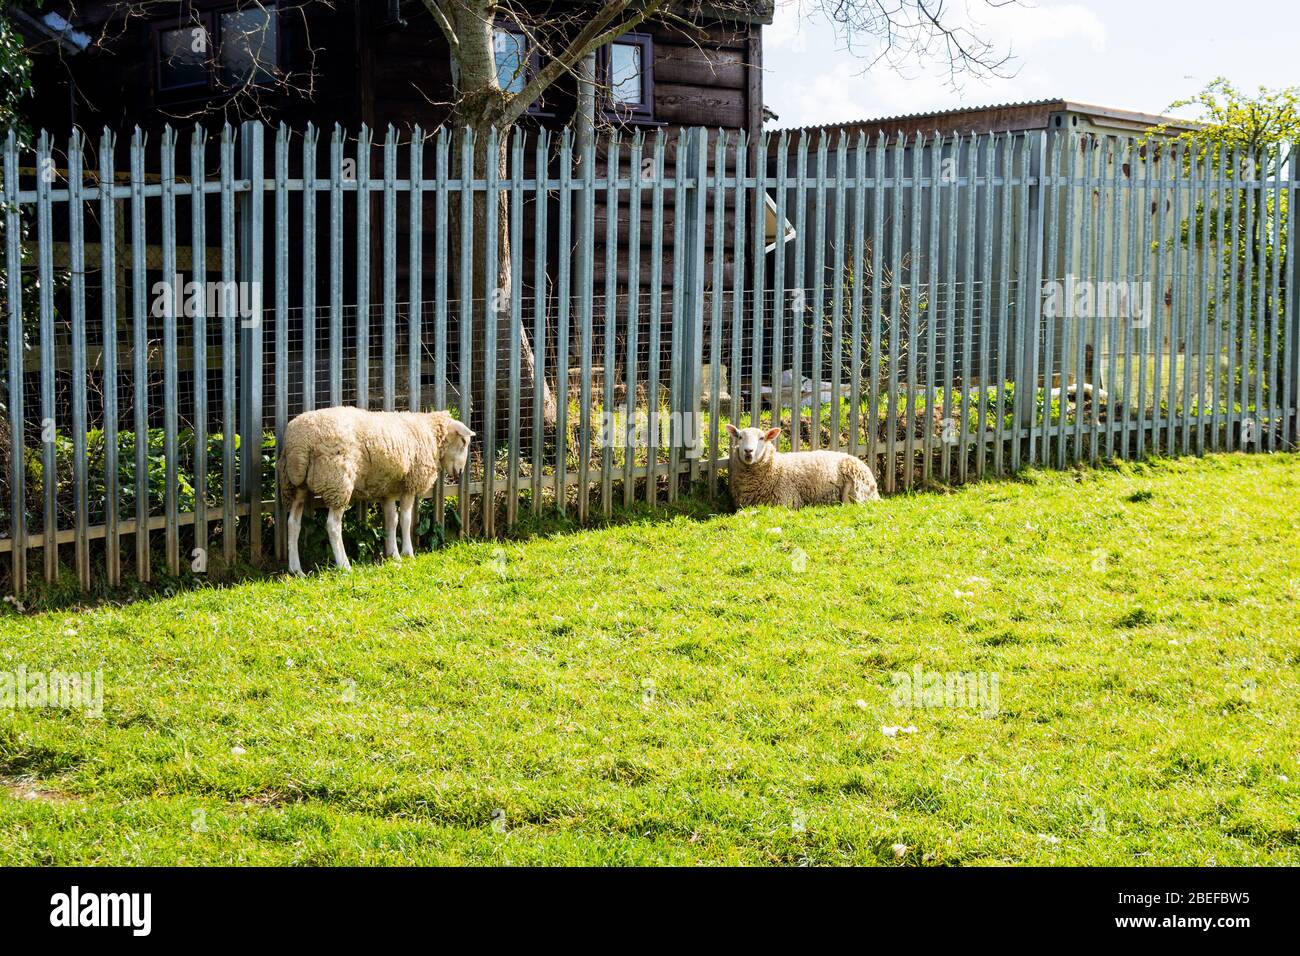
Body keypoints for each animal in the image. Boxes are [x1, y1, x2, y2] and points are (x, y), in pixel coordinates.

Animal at [279, 406, 474, 573]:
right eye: (464, 441)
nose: (460, 472)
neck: (431, 435)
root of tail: (300, 444)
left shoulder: (388, 489)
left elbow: (391, 520)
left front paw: (394, 555)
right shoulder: (410, 483)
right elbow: (405, 520)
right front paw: (408, 553)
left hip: (296, 485)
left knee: (293, 523)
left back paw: (296, 569)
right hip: (337, 481)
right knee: (333, 525)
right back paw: (344, 565)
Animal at [727, 424, 880, 509]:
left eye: (762, 438)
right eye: (740, 437)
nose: (748, 451)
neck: (776, 467)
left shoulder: (786, 501)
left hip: (855, 488)